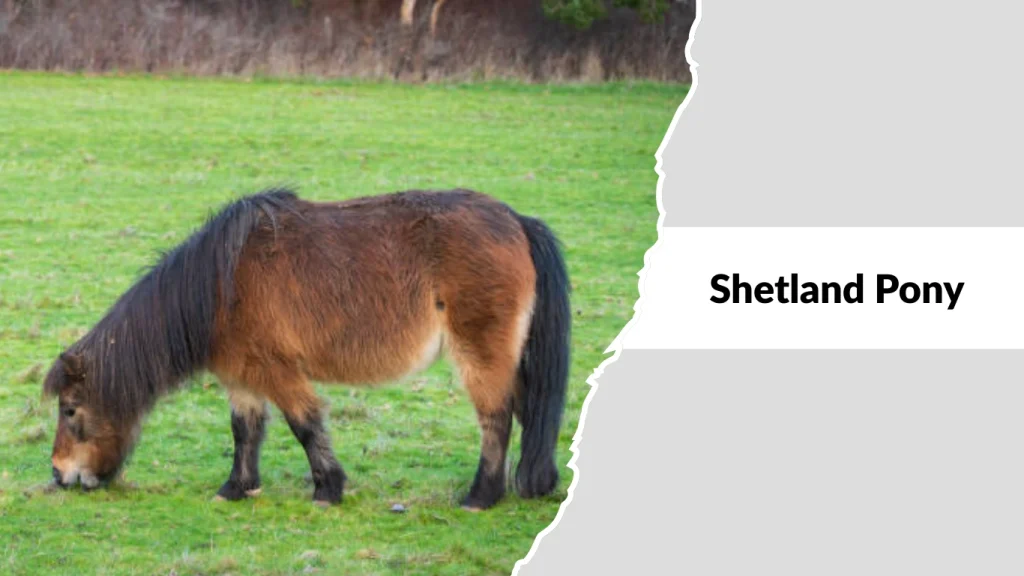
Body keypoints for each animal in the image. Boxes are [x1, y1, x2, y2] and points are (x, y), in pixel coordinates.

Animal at [42, 188, 570, 510]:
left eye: (70, 410)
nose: (59, 474)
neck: (218, 286)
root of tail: (517, 221)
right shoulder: (242, 377)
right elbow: (245, 431)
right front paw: (236, 488)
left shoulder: (278, 371)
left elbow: (305, 425)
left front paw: (327, 490)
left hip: (480, 355)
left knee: (495, 419)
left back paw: (480, 496)